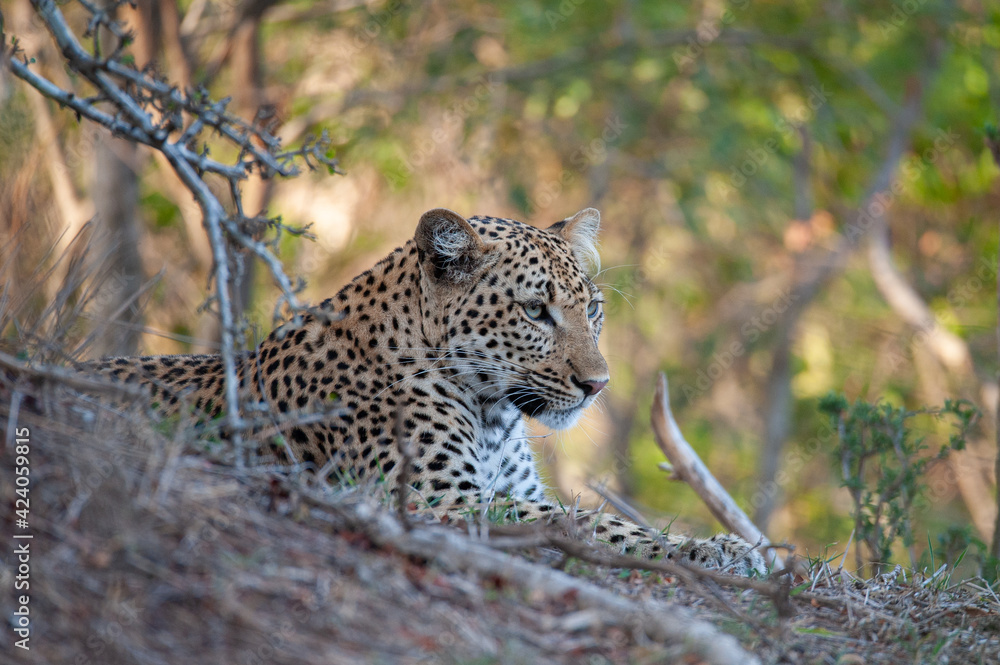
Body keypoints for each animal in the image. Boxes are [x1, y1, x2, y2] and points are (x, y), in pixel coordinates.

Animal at [85, 207, 766, 576]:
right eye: (535, 311)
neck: (494, 415)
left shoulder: (501, 490)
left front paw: (727, 544)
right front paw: (719, 552)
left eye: (592, 310)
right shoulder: (439, 501)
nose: (597, 385)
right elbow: (590, 523)